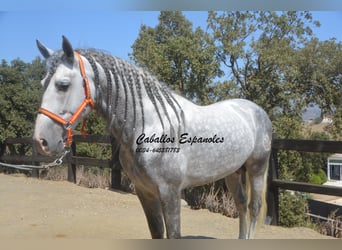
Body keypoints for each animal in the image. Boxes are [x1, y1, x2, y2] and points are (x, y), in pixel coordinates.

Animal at [32, 36, 272, 239]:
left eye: (63, 85)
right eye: (42, 83)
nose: (41, 141)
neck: (152, 126)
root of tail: (255, 110)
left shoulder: (170, 193)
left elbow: (173, 235)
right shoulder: (145, 192)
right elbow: (157, 233)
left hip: (257, 169)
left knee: (253, 208)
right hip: (233, 172)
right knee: (241, 205)